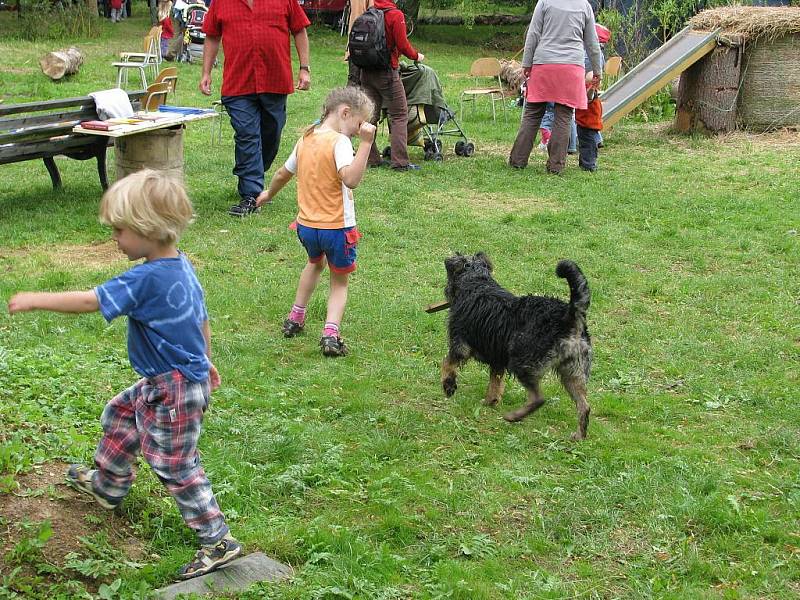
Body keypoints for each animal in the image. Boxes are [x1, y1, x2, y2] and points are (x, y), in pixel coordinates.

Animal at [440, 253, 592, 440]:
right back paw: (579, 436)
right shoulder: (497, 359)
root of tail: (568, 317)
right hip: (573, 373)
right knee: (584, 406)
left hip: (523, 362)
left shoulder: (460, 346)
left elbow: (447, 364)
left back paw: (514, 416)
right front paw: (490, 401)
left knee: (538, 398)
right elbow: (495, 383)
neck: (477, 282)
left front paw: (448, 386)